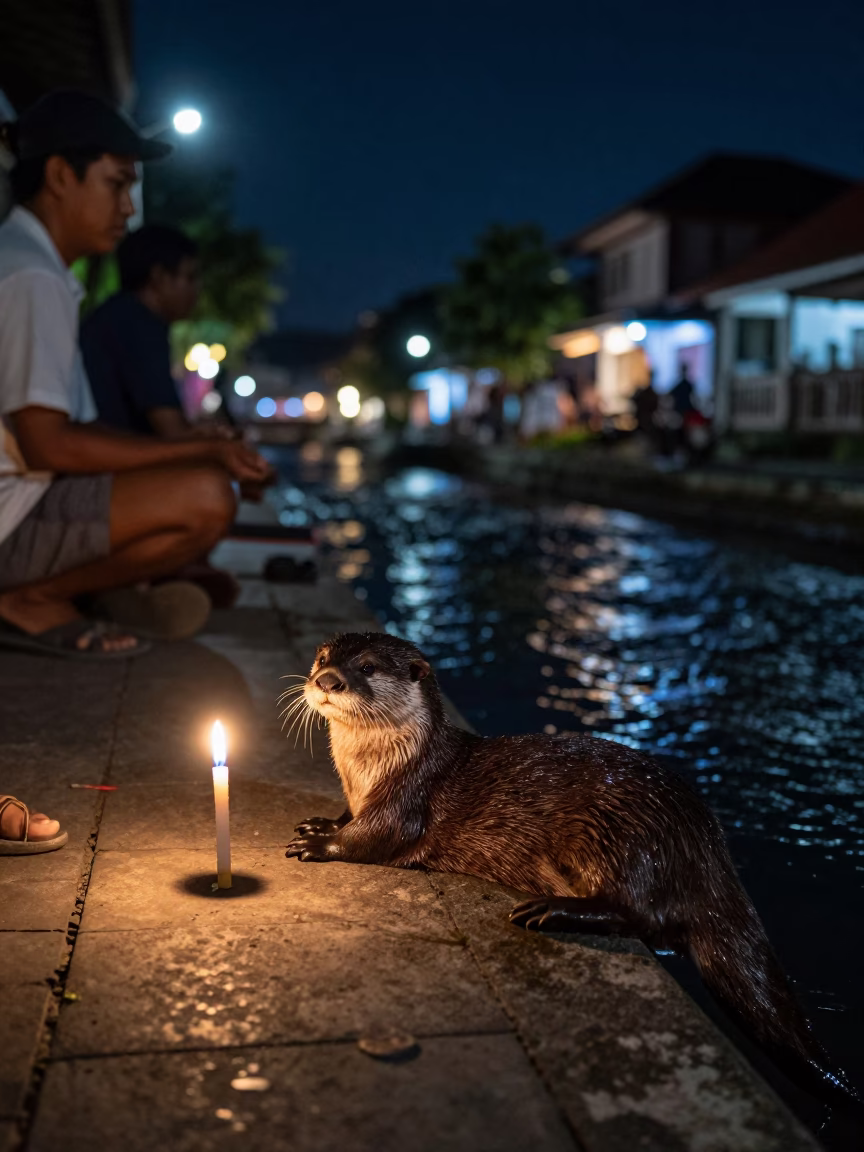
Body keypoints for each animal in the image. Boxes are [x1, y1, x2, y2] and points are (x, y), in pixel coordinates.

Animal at [284, 631, 858, 1110]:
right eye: (322, 657)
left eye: (367, 666)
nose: (328, 680)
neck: (372, 772)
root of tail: (705, 842)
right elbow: (349, 818)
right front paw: (323, 821)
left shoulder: (407, 800)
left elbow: (376, 837)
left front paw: (322, 844)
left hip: (616, 832)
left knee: (641, 918)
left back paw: (551, 910)